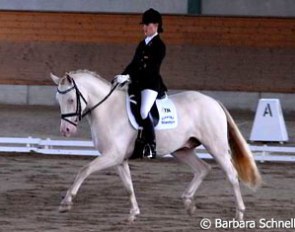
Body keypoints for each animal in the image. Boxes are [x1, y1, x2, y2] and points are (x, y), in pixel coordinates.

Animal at [50, 70, 262, 223]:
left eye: (71, 100)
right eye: (58, 100)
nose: (66, 130)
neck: (107, 110)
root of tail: (213, 101)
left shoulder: (112, 155)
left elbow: (84, 170)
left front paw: (66, 203)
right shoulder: (118, 159)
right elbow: (128, 185)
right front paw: (134, 213)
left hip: (216, 146)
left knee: (231, 175)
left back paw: (239, 213)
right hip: (182, 150)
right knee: (203, 168)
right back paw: (188, 203)